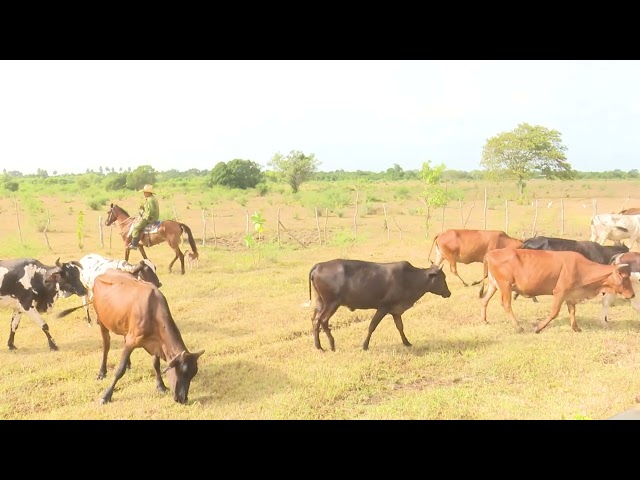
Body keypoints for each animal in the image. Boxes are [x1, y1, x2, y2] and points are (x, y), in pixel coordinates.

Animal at [304, 260, 450, 350]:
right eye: (443, 278)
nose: (448, 293)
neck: (410, 279)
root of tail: (319, 266)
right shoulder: (383, 307)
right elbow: (372, 326)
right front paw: (365, 345)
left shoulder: (395, 310)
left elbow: (400, 327)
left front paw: (407, 342)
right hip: (332, 303)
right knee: (322, 320)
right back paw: (332, 345)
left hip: (320, 302)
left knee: (315, 320)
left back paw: (319, 346)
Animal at [478, 248, 632, 334]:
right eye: (624, 278)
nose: (633, 294)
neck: (582, 269)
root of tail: (490, 253)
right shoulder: (559, 292)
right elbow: (554, 313)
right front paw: (538, 328)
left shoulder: (570, 296)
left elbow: (572, 312)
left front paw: (576, 328)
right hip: (505, 286)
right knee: (506, 304)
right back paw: (518, 327)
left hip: (493, 285)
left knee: (484, 300)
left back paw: (484, 320)